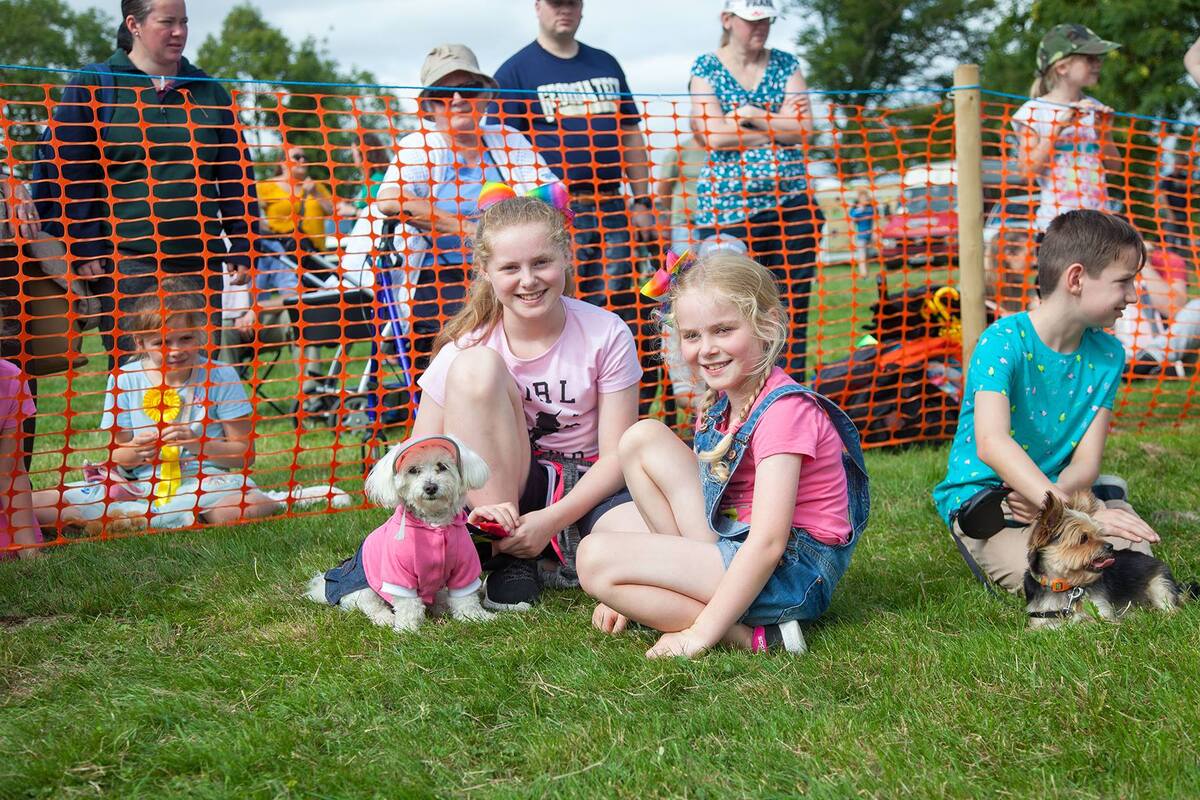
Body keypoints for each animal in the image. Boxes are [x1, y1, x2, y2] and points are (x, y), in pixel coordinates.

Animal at [305, 434, 494, 631]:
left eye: (442, 466)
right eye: (413, 470)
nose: (430, 487)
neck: (433, 526)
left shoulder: (464, 568)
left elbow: (466, 598)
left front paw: (475, 617)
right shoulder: (398, 574)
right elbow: (408, 604)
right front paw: (407, 628)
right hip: (362, 587)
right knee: (370, 605)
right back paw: (386, 618)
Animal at [1024, 491, 1193, 629]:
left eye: (1099, 534)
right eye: (1083, 538)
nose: (1110, 546)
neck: (1064, 586)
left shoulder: (1103, 613)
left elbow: (1087, 621)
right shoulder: (1039, 618)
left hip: (1159, 585)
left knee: (1171, 608)